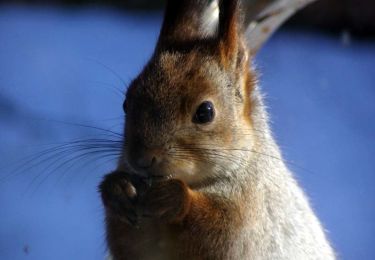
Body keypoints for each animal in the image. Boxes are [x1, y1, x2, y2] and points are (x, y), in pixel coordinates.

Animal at [98, 1, 336, 258]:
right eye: (126, 103)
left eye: (205, 112)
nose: (140, 159)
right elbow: (128, 242)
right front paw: (117, 190)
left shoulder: (250, 215)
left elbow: (218, 232)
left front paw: (173, 198)